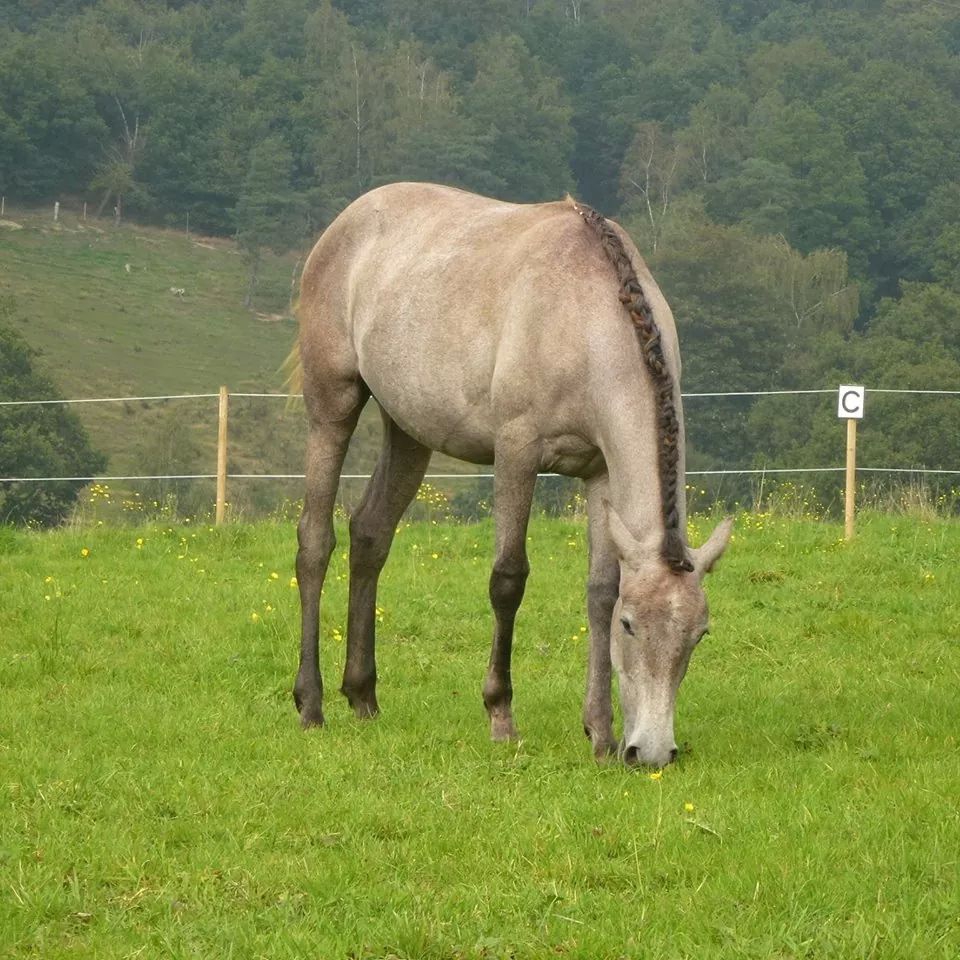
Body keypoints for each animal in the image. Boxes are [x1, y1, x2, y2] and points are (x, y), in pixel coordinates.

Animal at [287, 182, 732, 768]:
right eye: (631, 626)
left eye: (699, 634)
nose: (652, 752)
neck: (585, 318)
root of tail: (347, 219)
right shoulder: (517, 452)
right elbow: (508, 580)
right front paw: (501, 715)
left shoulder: (600, 475)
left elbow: (599, 590)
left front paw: (600, 732)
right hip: (331, 409)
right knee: (316, 543)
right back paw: (310, 704)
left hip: (408, 433)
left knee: (370, 535)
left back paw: (362, 696)